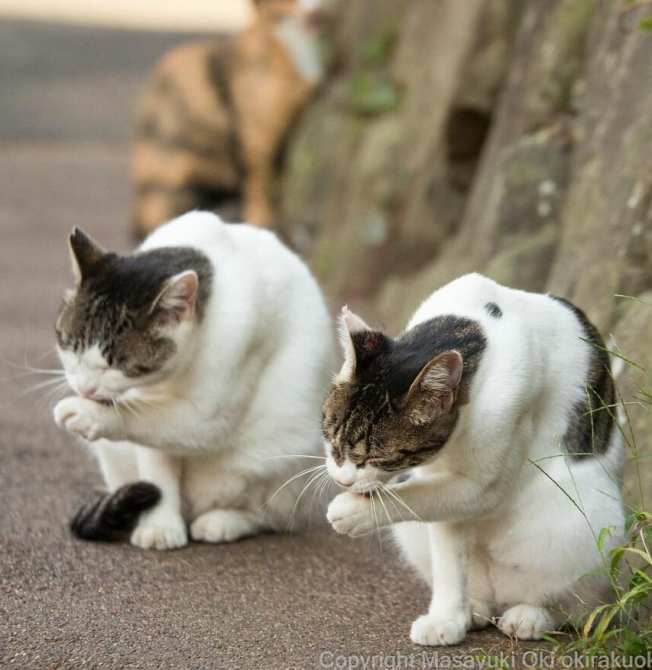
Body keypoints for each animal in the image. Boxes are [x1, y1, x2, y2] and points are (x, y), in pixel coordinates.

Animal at [53, 211, 334, 549]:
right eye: (70, 346)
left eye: (117, 364)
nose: (85, 387)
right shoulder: (148, 405)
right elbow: (156, 469)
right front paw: (160, 526)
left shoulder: (212, 409)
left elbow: (147, 419)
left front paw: (89, 414)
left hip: (278, 460)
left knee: (270, 516)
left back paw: (224, 521)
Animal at [131, 0, 324, 240]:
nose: (316, 13)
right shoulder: (257, 140)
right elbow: (262, 188)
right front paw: (266, 223)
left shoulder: (286, 137)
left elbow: (278, 186)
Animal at [321, 273, 625, 645]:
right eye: (331, 438)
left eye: (378, 456)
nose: (342, 479)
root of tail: (502, 595)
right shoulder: (438, 475)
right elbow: (446, 542)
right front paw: (448, 618)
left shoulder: (486, 482)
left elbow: (424, 497)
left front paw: (353, 511)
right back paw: (474, 608)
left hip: (587, 521)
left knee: (579, 605)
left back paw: (533, 615)